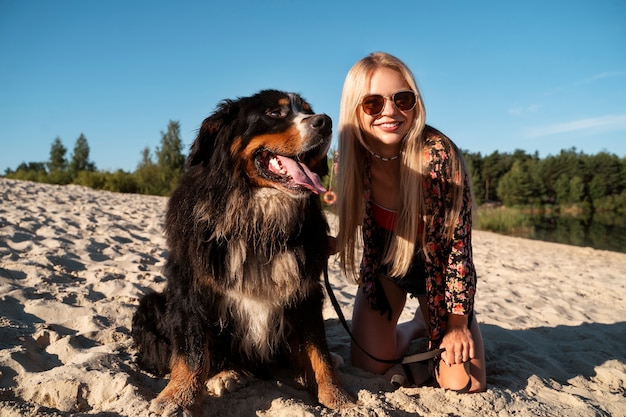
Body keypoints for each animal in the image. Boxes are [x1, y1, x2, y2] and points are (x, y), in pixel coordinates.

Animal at [131, 89, 352, 414]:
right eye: (274, 113)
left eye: (307, 110)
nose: (325, 122)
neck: (257, 222)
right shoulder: (191, 287)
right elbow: (193, 351)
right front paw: (178, 398)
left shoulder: (305, 291)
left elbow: (318, 351)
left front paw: (337, 396)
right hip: (151, 305)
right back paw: (226, 374)